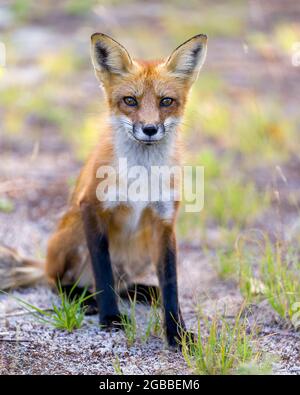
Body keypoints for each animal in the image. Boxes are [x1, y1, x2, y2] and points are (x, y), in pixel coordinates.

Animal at [0, 34, 206, 348]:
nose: (149, 129)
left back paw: (143, 291)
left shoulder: (165, 221)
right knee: (57, 282)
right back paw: (84, 298)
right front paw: (110, 318)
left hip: (142, 248)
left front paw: (176, 331)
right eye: (130, 100)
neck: (141, 175)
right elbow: (103, 271)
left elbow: (171, 283)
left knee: (124, 285)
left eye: (166, 101)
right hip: (71, 235)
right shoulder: (91, 206)